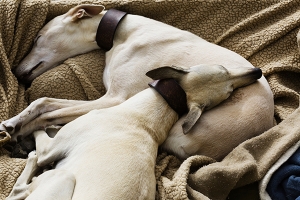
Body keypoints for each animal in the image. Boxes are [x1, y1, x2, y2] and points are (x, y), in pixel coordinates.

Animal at [0, 4, 274, 161]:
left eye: (37, 38)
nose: (16, 71)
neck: (123, 32)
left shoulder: (115, 98)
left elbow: (48, 112)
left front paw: (17, 130)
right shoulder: (108, 96)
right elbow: (43, 101)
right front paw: (14, 121)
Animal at [5, 64, 262, 200]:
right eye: (224, 71)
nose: (258, 72)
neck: (148, 117)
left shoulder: (51, 148)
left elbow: (40, 130)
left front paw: (19, 134)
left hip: (61, 178)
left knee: (20, 188)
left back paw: (29, 157)